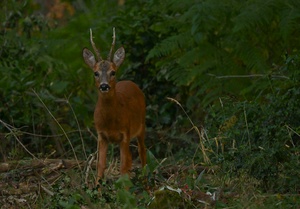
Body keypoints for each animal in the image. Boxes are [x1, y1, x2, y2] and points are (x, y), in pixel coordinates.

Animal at [82, 28, 146, 186]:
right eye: (96, 73)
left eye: (113, 72)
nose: (104, 86)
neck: (110, 122)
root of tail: (130, 82)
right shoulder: (101, 136)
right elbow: (100, 166)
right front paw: (97, 189)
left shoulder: (125, 134)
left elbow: (124, 166)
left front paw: (124, 191)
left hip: (141, 126)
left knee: (142, 153)